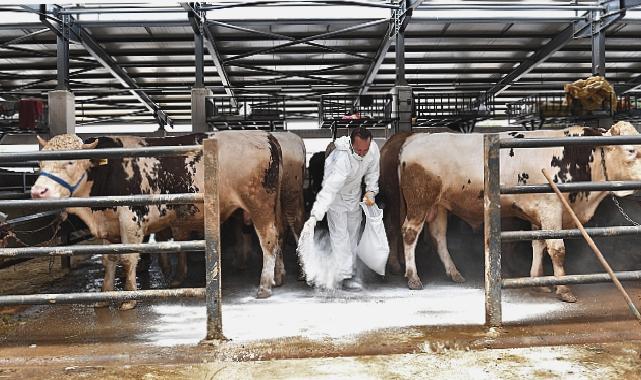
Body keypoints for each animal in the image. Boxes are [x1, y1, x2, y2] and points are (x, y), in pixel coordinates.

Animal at [30, 131, 284, 308]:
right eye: (40, 163)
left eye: (71, 161)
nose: (38, 191)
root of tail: (264, 136)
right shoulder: (109, 225)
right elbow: (108, 260)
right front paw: (104, 296)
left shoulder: (131, 219)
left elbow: (128, 259)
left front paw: (129, 297)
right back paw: (278, 276)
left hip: (258, 204)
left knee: (268, 240)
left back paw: (264, 285)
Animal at [396, 122, 640, 302]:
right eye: (630, 150)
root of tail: (415, 138)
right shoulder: (551, 208)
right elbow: (557, 249)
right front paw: (564, 290)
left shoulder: (539, 213)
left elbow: (538, 245)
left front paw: (538, 282)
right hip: (420, 201)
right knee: (409, 233)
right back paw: (413, 277)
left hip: (438, 206)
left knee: (439, 236)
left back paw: (454, 272)